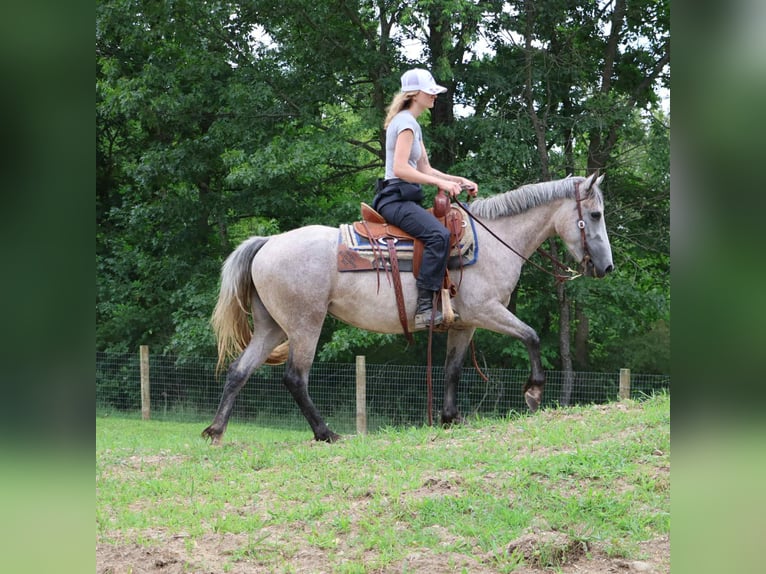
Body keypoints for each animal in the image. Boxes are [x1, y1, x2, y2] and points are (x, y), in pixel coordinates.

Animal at [202, 173, 613, 443]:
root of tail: (268, 242)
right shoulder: (486, 311)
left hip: (272, 327)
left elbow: (452, 370)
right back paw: (326, 432)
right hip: (305, 324)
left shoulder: (464, 324)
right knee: (295, 377)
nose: (606, 267)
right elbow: (532, 336)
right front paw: (533, 392)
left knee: (239, 370)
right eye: (595, 215)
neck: (493, 242)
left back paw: (216, 431)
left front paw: (450, 417)